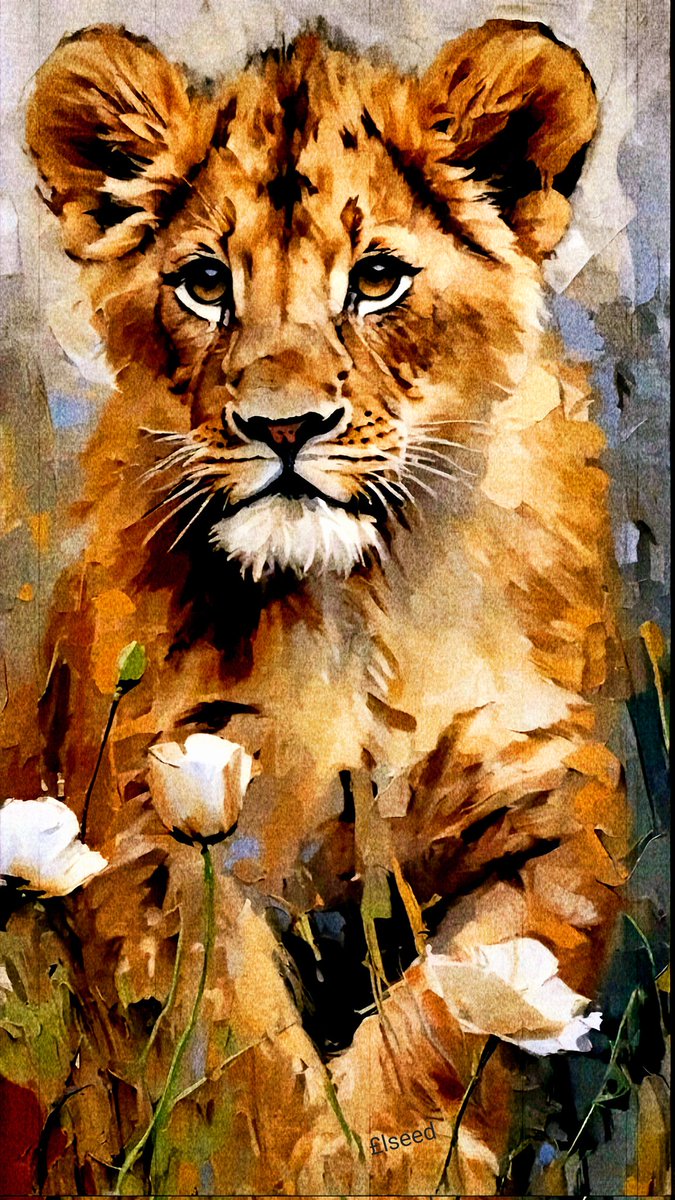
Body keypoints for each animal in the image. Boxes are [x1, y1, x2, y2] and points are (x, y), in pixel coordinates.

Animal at [0, 18, 631, 1194]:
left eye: (376, 279)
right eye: (205, 283)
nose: (282, 426)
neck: (355, 604)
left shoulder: (554, 810)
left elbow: (451, 1009)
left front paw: (406, 1158)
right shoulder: (157, 816)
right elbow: (230, 1032)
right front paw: (292, 1164)